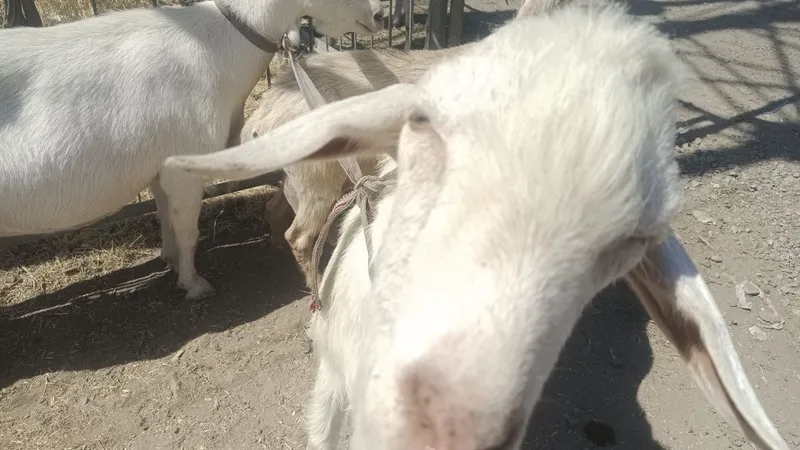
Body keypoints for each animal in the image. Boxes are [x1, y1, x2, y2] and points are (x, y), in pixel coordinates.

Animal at [0, 0, 384, 299]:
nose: (380, 15)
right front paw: (194, 284)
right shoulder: (186, 164)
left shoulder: (162, 164)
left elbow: (166, 217)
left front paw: (169, 259)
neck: (216, 45)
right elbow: (188, 230)